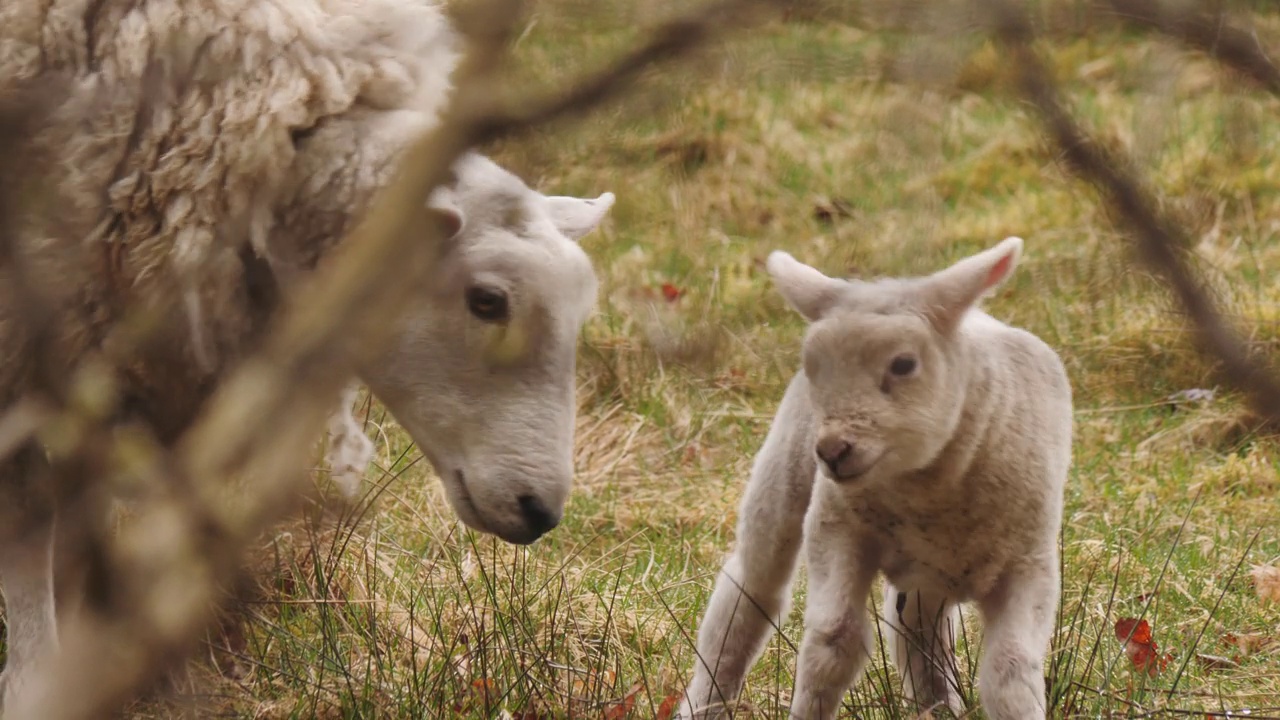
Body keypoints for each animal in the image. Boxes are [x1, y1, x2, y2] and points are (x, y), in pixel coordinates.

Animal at [680, 238, 1070, 712]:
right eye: (813, 367)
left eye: (903, 364)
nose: (832, 451)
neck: (931, 491)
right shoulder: (837, 528)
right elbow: (834, 643)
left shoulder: (1030, 563)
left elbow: (1010, 670)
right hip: (783, 480)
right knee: (749, 597)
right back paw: (703, 702)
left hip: (931, 573)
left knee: (918, 629)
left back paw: (937, 706)